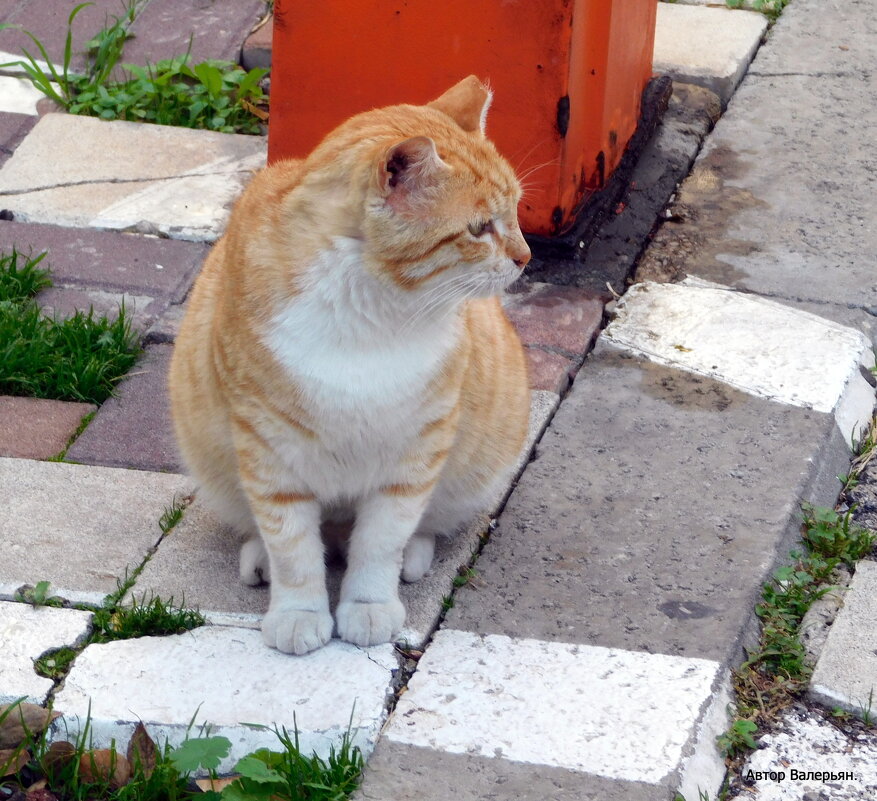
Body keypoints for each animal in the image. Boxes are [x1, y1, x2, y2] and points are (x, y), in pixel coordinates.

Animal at [169, 75, 528, 652]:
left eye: (516, 211)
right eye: (478, 229)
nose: (526, 257)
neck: (371, 311)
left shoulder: (412, 457)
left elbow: (380, 544)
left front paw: (369, 605)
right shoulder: (270, 453)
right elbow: (293, 550)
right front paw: (298, 612)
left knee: (420, 527)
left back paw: (414, 557)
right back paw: (260, 559)